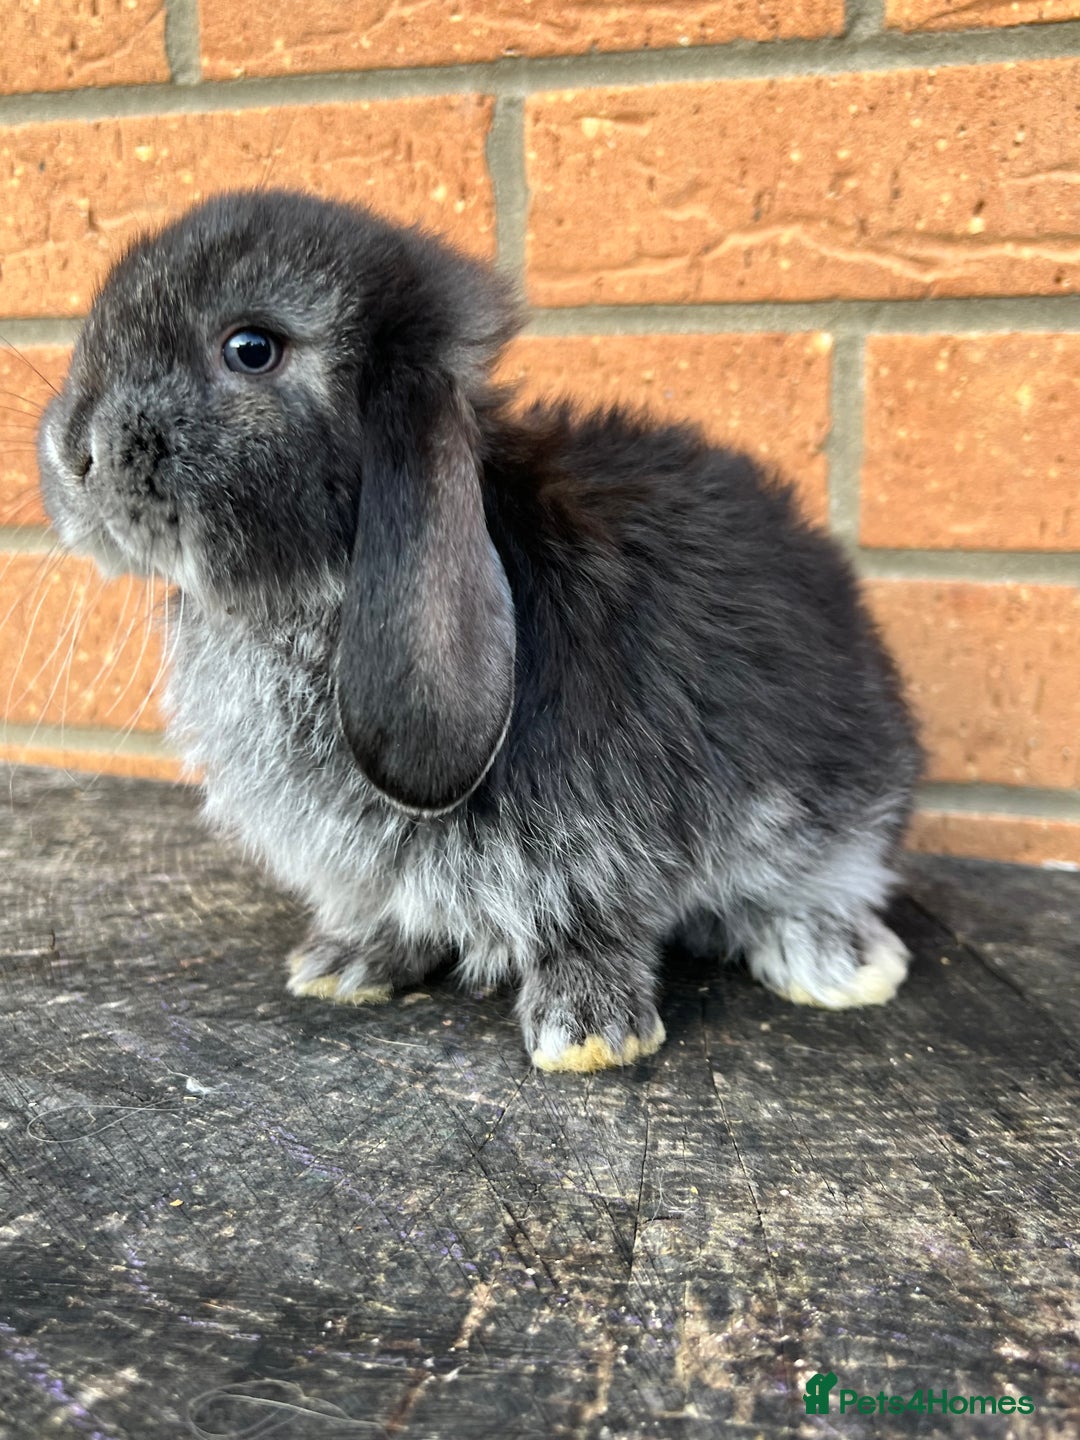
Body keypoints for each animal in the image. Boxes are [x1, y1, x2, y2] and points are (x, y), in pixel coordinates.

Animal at [37, 188, 923, 1073]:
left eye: (251, 349)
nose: (72, 453)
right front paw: (345, 963)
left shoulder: (608, 835)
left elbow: (596, 921)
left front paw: (589, 1032)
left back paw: (837, 961)